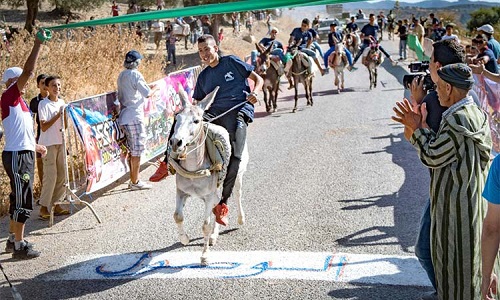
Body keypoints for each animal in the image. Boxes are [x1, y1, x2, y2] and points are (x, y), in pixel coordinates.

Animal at [170, 86, 248, 264]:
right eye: (177, 117)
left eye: (196, 121)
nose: (176, 142)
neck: (195, 169)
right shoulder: (182, 191)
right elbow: (178, 216)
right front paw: (184, 239)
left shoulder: (208, 195)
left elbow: (205, 225)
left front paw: (204, 255)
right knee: (217, 204)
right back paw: (214, 235)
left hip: (238, 176)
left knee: (236, 195)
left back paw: (240, 219)